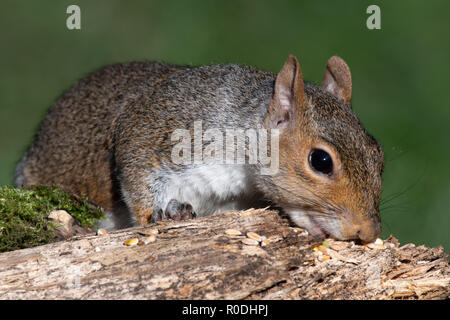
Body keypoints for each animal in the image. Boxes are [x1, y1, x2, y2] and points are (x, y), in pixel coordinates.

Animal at [15, 55, 384, 241]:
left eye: (378, 154)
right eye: (321, 160)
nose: (367, 232)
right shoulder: (160, 129)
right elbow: (137, 172)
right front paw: (164, 213)